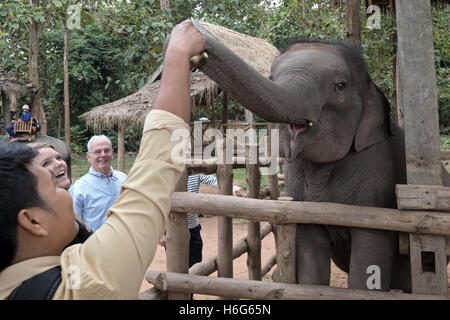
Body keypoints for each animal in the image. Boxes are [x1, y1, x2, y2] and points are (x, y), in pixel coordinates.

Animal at [193, 21, 450, 292]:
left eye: (340, 85)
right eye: (271, 77)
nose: (195, 28)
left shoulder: (378, 189)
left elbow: (368, 264)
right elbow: (311, 265)